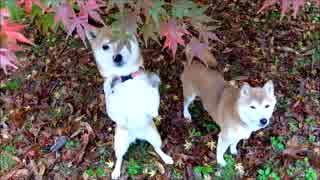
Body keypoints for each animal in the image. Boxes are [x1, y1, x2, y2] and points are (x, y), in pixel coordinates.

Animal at [85, 27, 172, 179]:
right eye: (105, 46)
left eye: (123, 41)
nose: (117, 57)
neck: (125, 77)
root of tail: (136, 136)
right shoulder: (110, 101)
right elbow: (112, 105)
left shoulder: (149, 89)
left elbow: (153, 99)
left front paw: (154, 112)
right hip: (120, 143)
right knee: (120, 157)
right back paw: (116, 171)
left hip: (155, 136)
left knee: (157, 148)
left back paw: (166, 157)